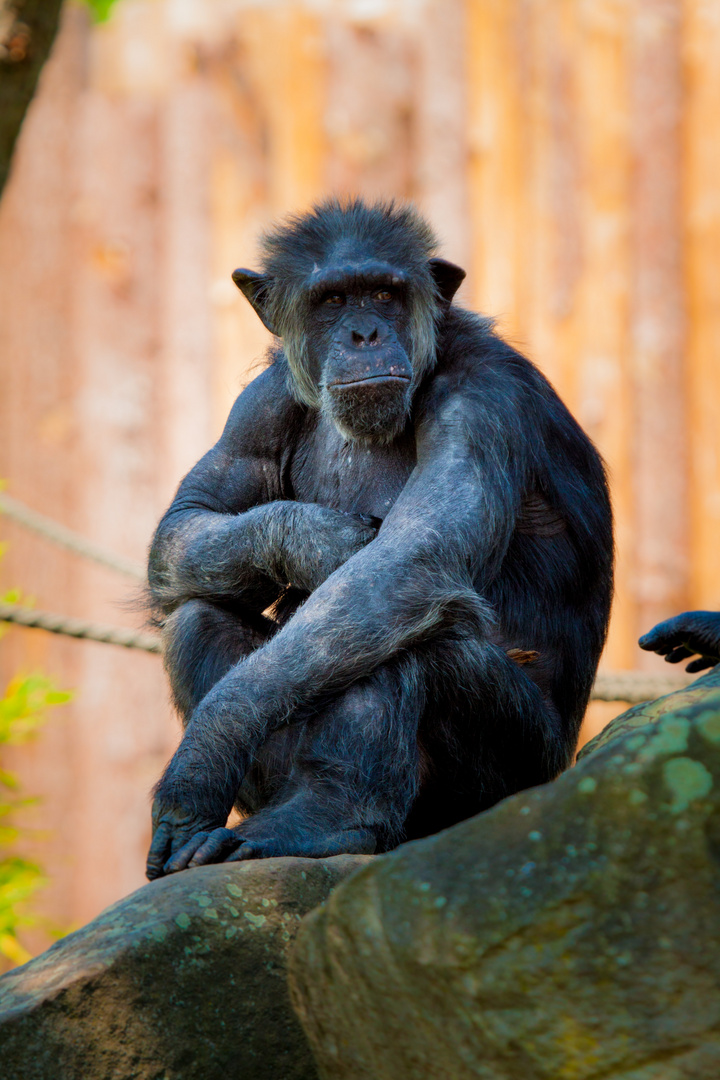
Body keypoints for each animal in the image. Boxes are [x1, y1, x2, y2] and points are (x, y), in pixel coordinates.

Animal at [144, 200, 613, 876]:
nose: (364, 333)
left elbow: (409, 558)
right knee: (200, 613)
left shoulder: (482, 399)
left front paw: (205, 754)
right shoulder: (259, 406)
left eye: (385, 295)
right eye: (334, 300)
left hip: (514, 779)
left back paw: (329, 817)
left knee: (398, 612)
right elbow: (185, 521)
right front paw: (314, 540)